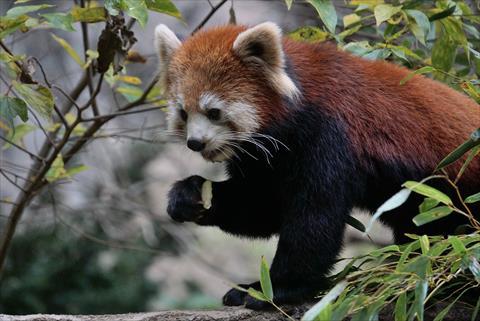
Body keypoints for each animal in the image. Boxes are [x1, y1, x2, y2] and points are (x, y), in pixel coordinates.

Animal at [156, 21, 478, 308]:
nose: (195, 143)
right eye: (183, 113)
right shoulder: (264, 160)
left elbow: (313, 219)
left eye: (213, 112)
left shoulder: (328, 137)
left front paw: (272, 289)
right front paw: (189, 195)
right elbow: (259, 207)